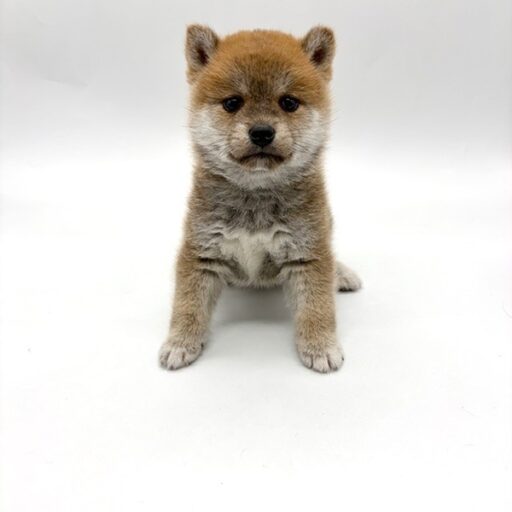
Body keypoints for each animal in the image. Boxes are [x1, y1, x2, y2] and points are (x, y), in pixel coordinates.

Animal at [159, 25, 361, 373]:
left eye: (289, 102)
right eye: (232, 103)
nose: (262, 132)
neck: (255, 196)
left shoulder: (308, 251)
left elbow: (317, 306)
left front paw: (321, 345)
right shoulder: (201, 250)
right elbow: (188, 304)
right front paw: (180, 342)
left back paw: (342, 273)